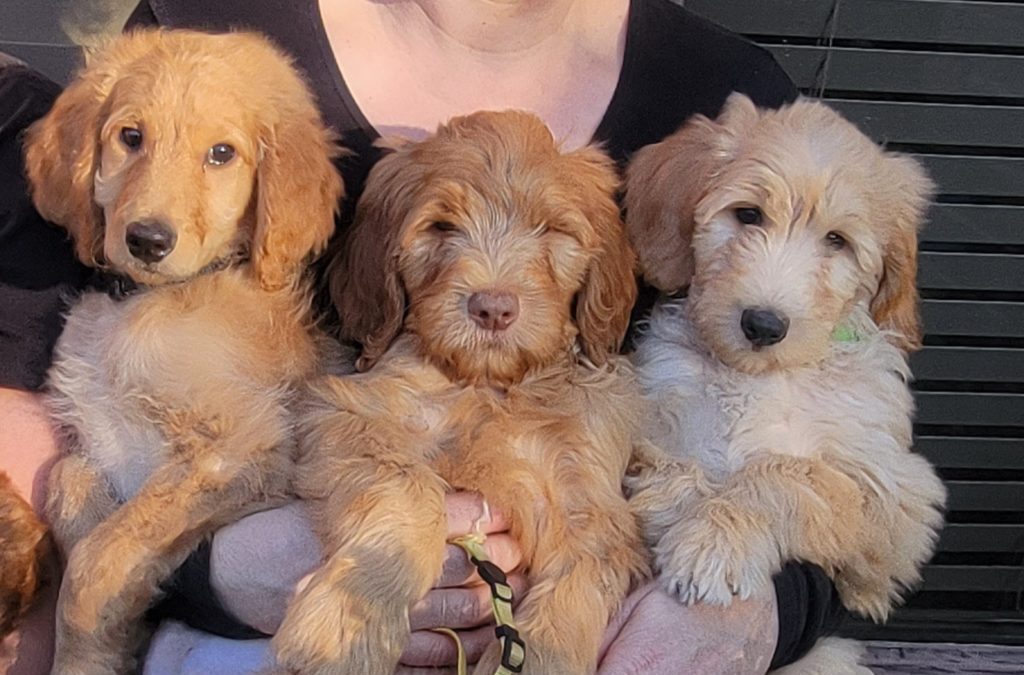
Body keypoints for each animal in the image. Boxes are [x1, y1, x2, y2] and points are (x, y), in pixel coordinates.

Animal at [23, 29, 344, 671]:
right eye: (131, 137)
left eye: (222, 154)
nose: (147, 240)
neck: (147, 305)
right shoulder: (97, 439)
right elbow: (68, 486)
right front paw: (108, 643)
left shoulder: (247, 444)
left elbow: (99, 556)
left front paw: (83, 646)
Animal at [272, 112, 647, 675]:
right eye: (441, 227)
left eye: (553, 230)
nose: (492, 308)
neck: (486, 388)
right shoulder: (348, 415)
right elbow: (408, 494)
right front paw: (343, 631)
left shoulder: (590, 501)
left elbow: (571, 592)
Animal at [618, 95, 946, 675]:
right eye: (747, 214)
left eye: (837, 241)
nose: (763, 325)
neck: (758, 379)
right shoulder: (649, 417)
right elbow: (669, 465)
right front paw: (680, 514)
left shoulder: (897, 500)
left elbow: (783, 475)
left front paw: (712, 540)